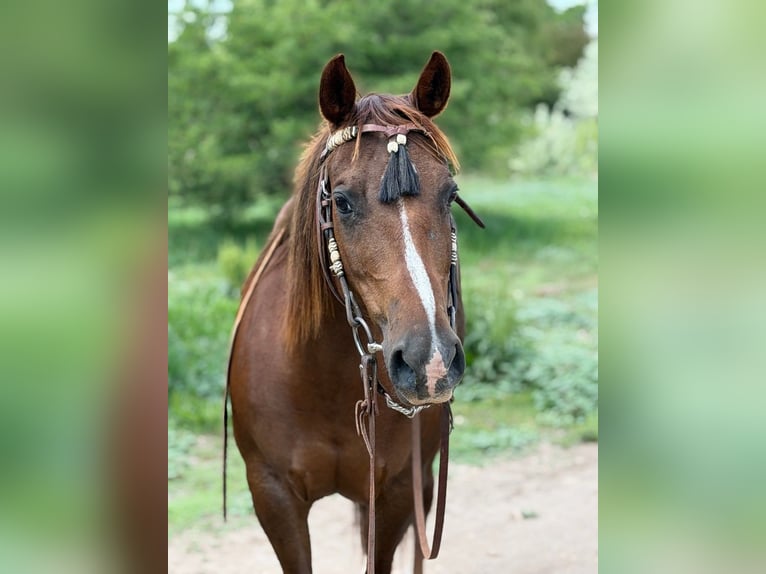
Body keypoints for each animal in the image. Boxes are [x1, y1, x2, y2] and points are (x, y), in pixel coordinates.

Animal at [226, 51, 482, 574]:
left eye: (449, 195)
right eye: (341, 202)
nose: (429, 361)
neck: (320, 378)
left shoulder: (398, 490)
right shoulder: (272, 496)